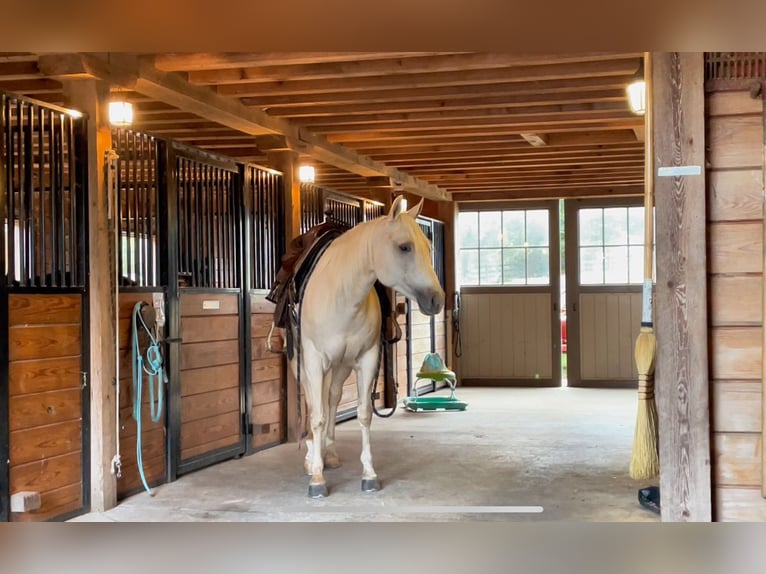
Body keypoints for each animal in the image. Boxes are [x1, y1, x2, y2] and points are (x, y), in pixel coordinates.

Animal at [291, 195, 445, 498]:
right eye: (404, 246)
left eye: (428, 246)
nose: (437, 299)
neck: (341, 294)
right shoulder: (313, 359)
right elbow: (316, 415)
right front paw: (317, 478)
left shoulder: (367, 358)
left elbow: (362, 413)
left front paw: (369, 474)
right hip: (301, 362)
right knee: (313, 401)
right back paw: (312, 457)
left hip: (340, 365)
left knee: (332, 397)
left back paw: (329, 453)